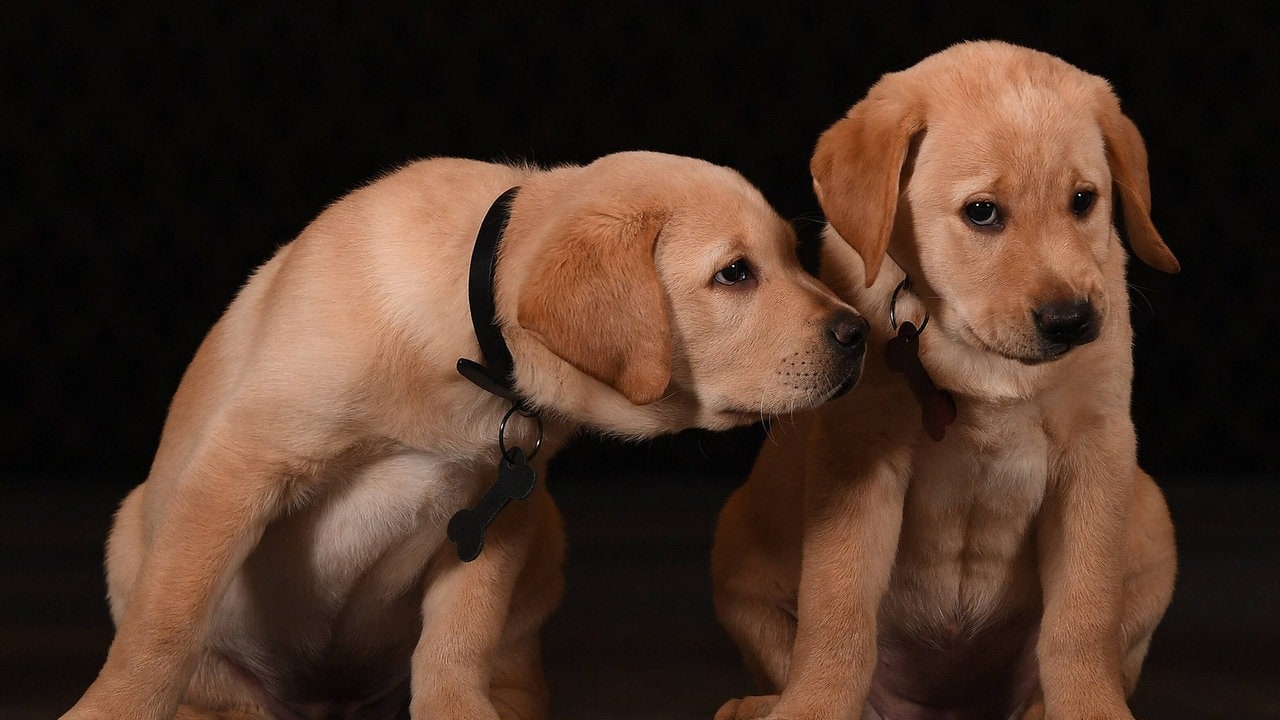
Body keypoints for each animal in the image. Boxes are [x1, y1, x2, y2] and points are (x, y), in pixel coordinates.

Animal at [62, 149, 870, 717]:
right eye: (735, 274)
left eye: (794, 257)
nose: (859, 332)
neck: (474, 348)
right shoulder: (240, 465)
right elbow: (164, 625)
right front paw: (111, 709)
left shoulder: (501, 507)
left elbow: (460, 636)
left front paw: (458, 709)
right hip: (130, 537)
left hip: (544, 544)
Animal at [711, 40, 1177, 717]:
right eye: (981, 213)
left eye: (1084, 201)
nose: (1070, 320)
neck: (981, 356)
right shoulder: (859, 457)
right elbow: (835, 611)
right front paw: (813, 705)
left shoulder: (1098, 448)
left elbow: (1083, 618)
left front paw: (1091, 707)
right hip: (737, 552)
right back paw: (757, 704)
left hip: (1151, 518)